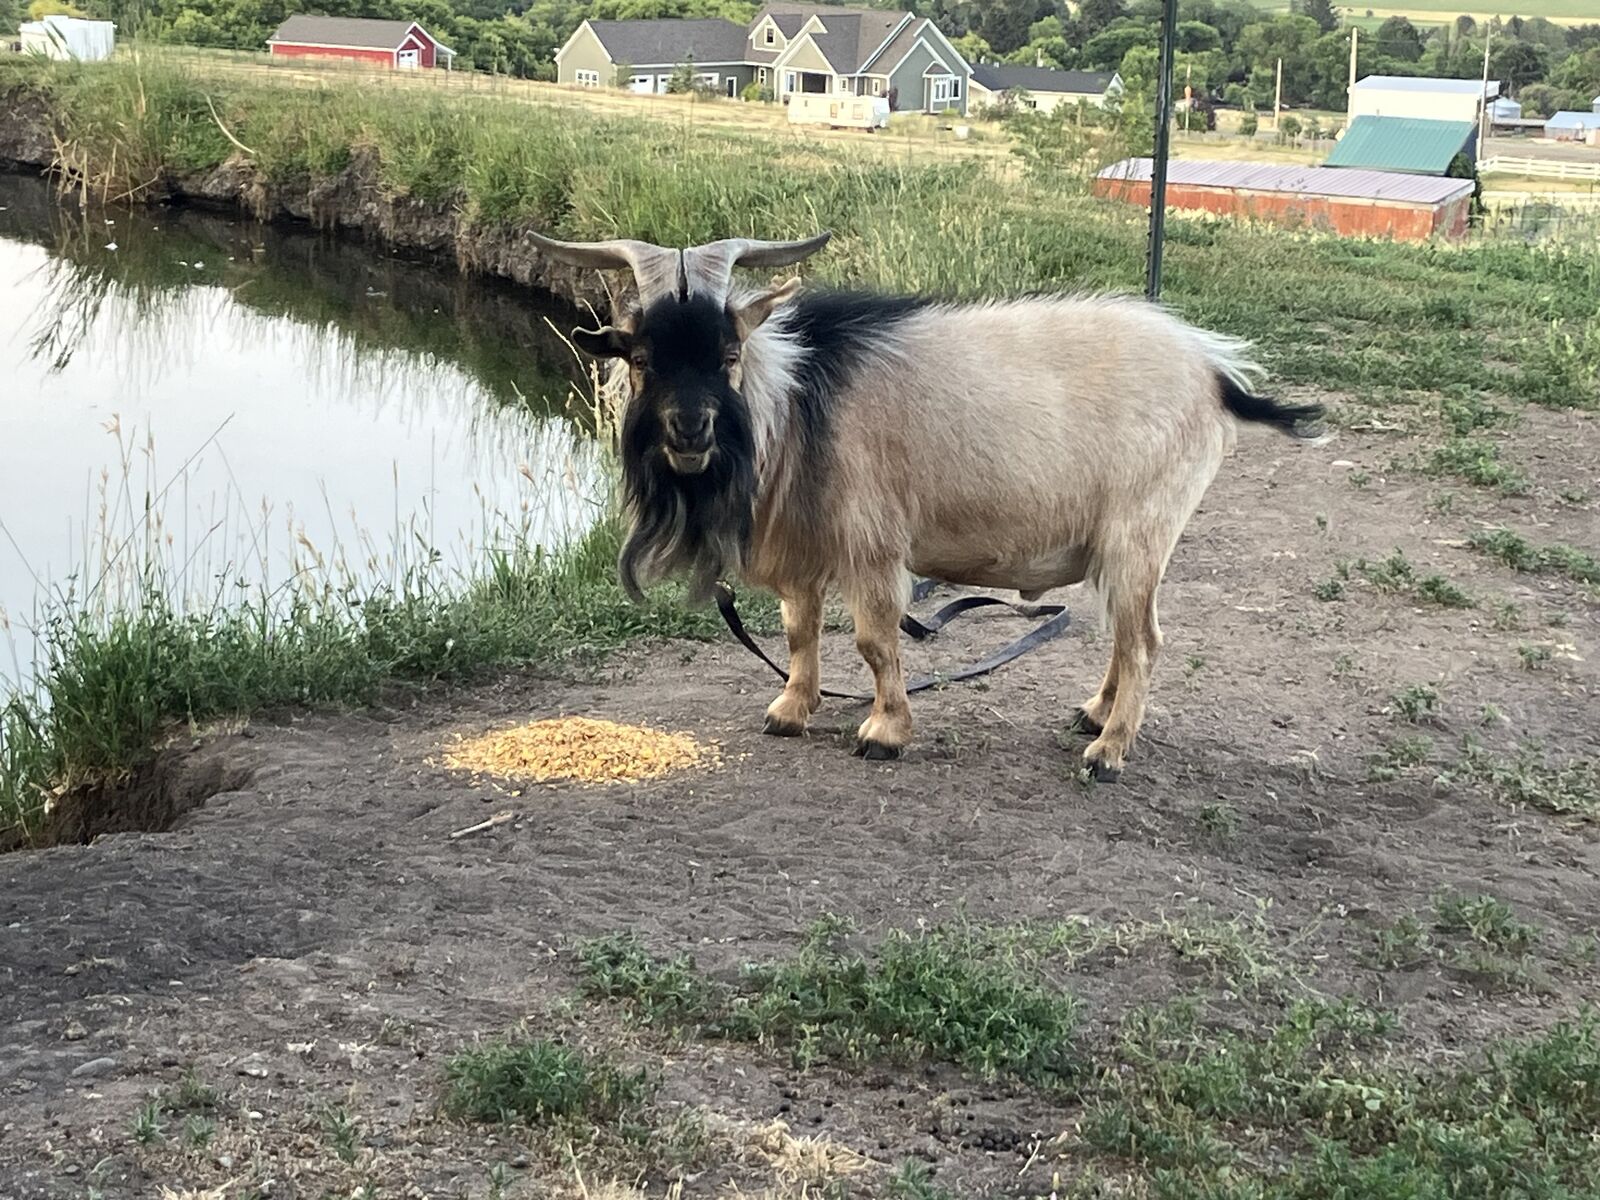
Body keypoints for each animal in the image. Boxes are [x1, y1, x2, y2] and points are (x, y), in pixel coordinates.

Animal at [530, 230, 1321, 780]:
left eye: (728, 353)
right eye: (640, 357)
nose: (689, 430)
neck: (795, 401)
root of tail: (1214, 374)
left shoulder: (873, 544)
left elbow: (874, 641)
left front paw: (884, 732)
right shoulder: (806, 549)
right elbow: (799, 632)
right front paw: (790, 710)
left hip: (1141, 532)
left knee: (1145, 642)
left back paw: (1108, 751)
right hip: (1118, 547)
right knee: (1124, 638)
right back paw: (1093, 714)